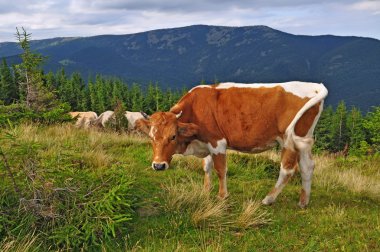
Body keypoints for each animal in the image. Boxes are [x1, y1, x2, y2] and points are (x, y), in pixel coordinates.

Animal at [137, 81, 330, 208]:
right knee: (307, 167)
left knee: (287, 170)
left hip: (289, 139)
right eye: (152, 137)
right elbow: (206, 166)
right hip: (303, 140)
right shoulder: (206, 143)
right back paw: (303, 201)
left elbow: (220, 169)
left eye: (173, 136)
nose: (158, 165)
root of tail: (313, 86)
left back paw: (268, 199)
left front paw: (222, 196)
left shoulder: (217, 142)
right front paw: (206, 190)